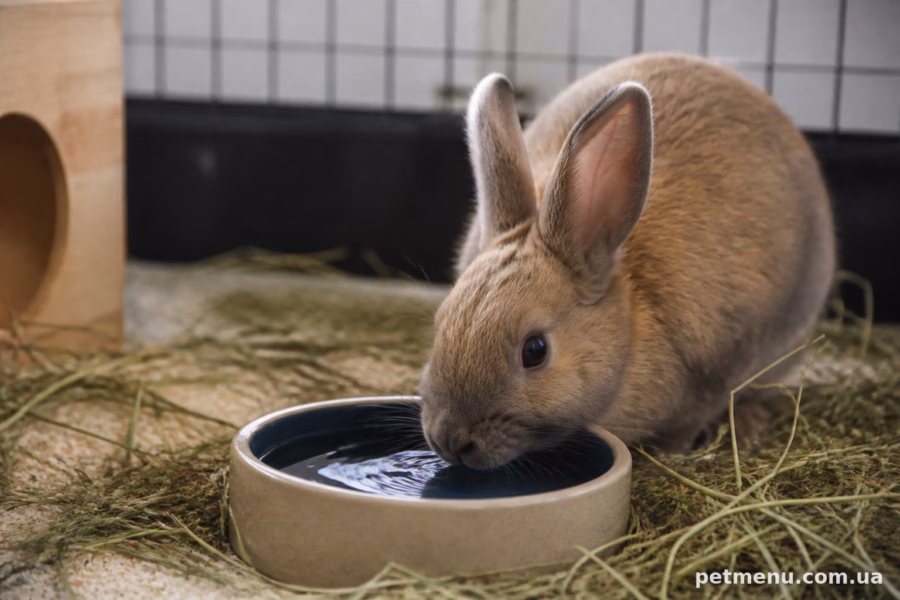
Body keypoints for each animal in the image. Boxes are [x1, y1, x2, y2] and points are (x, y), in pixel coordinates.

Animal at [417, 53, 836, 469]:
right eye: (439, 326)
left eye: (535, 351)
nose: (449, 439)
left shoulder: (715, 373)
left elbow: (690, 423)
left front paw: (668, 457)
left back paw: (748, 429)